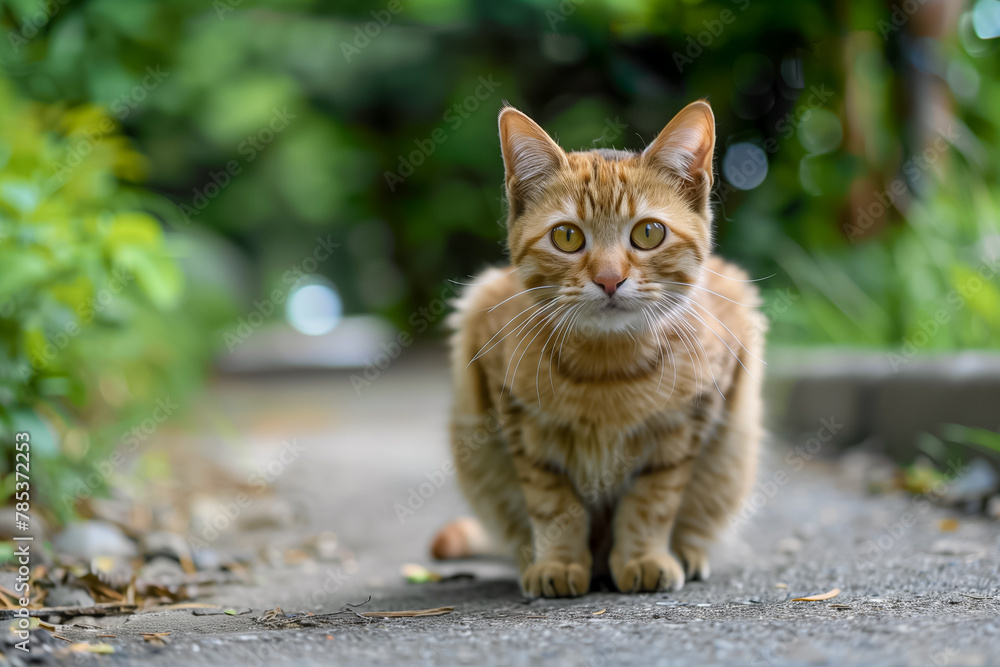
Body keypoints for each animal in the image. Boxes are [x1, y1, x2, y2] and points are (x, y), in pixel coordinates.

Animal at [432, 100, 764, 600]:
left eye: (648, 233)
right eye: (567, 237)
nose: (609, 279)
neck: (606, 371)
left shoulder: (690, 421)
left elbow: (652, 502)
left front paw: (645, 557)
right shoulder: (515, 417)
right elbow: (552, 505)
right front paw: (558, 562)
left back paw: (684, 552)